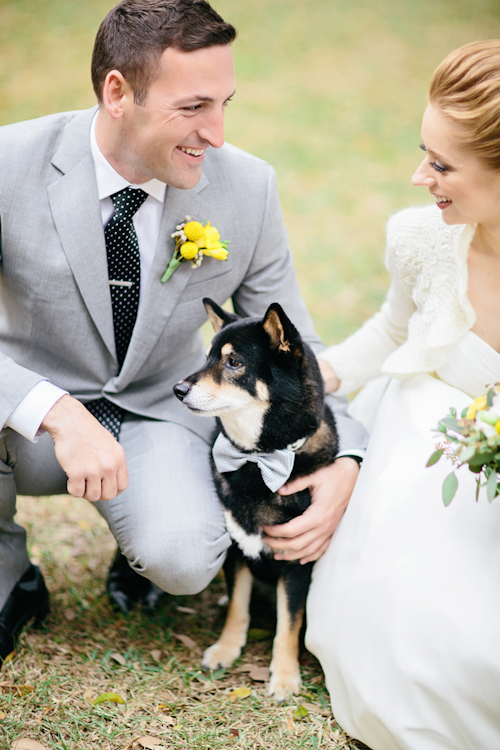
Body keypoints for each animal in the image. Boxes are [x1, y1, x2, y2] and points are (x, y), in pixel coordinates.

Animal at [173, 300, 340, 704]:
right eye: (208, 357)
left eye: (234, 363)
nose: (178, 389)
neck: (257, 459)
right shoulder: (236, 549)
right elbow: (238, 605)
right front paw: (226, 648)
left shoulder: (297, 563)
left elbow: (289, 623)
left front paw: (285, 677)